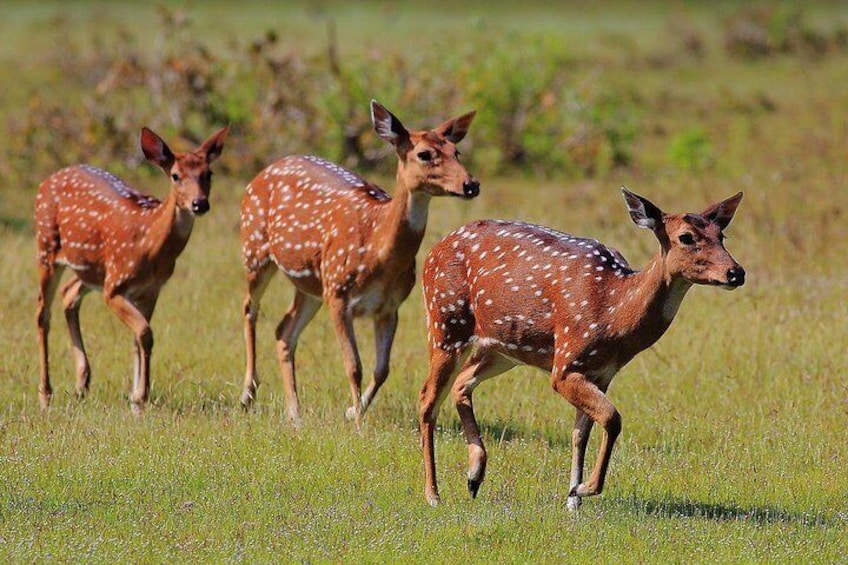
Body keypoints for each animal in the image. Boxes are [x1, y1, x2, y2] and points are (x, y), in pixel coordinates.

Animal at [34, 125, 229, 412]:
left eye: (209, 174)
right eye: (175, 176)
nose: (200, 203)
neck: (149, 245)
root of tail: (47, 180)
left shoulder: (151, 290)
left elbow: (138, 337)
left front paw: (135, 398)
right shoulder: (114, 286)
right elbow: (145, 333)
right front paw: (140, 396)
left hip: (90, 268)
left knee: (69, 294)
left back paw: (82, 383)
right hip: (47, 247)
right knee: (42, 313)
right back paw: (46, 394)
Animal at [240, 99, 476, 426]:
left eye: (457, 151)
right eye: (425, 154)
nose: (471, 184)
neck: (377, 250)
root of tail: (263, 171)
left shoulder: (389, 306)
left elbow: (382, 369)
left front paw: (353, 411)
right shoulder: (340, 295)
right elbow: (354, 365)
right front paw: (359, 424)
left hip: (312, 286)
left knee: (284, 331)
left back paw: (295, 414)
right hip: (255, 251)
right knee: (250, 309)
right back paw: (247, 395)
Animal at [420, 188, 744, 506]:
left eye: (722, 235)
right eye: (686, 237)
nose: (736, 272)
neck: (614, 313)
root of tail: (432, 252)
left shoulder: (601, 373)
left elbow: (580, 433)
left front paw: (573, 498)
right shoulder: (566, 363)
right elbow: (612, 418)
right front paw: (587, 488)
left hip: (501, 348)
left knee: (462, 383)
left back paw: (474, 476)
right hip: (446, 323)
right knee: (428, 398)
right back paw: (434, 494)